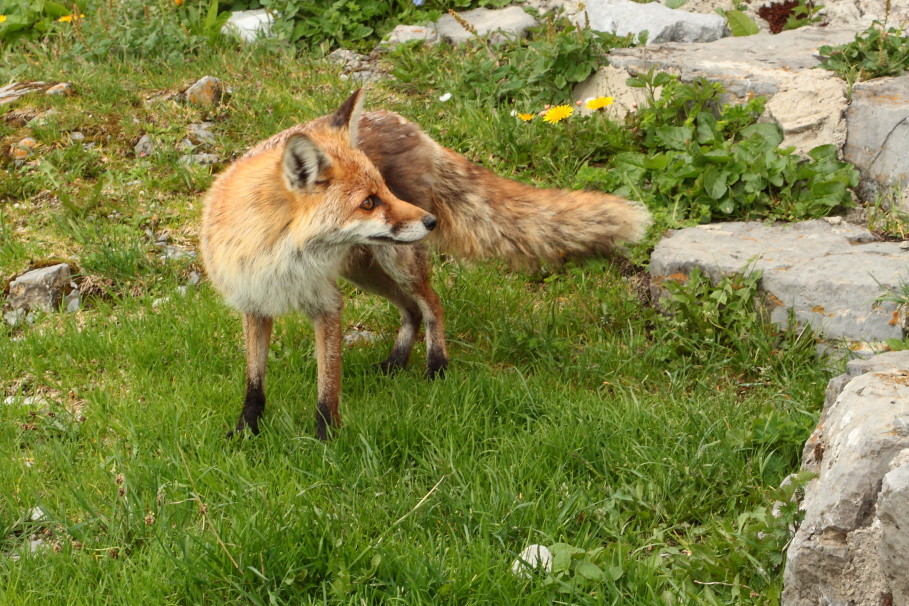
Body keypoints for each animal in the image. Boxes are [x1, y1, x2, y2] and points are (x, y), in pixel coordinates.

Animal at [200, 89, 652, 442]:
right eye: (369, 202)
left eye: (383, 191)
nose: (431, 221)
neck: (276, 253)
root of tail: (409, 124)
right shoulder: (254, 304)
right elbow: (254, 381)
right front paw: (246, 431)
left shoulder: (327, 305)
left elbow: (327, 387)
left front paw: (326, 439)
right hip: (364, 269)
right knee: (410, 310)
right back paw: (396, 363)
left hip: (396, 260)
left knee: (431, 305)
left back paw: (436, 367)